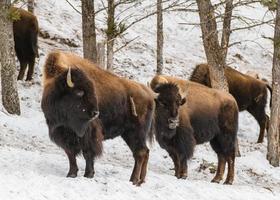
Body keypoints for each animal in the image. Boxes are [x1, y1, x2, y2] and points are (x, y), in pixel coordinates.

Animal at [41, 50, 155, 185]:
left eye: (92, 89)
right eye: (79, 92)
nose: (95, 113)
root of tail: (149, 94)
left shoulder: (88, 133)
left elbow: (87, 153)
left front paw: (88, 174)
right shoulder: (63, 133)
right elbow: (70, 154)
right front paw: (71, 174)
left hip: (135, 132)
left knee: (140, 153)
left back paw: (133, 180)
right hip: (128, 134)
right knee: (145, 152)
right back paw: (141, 181)